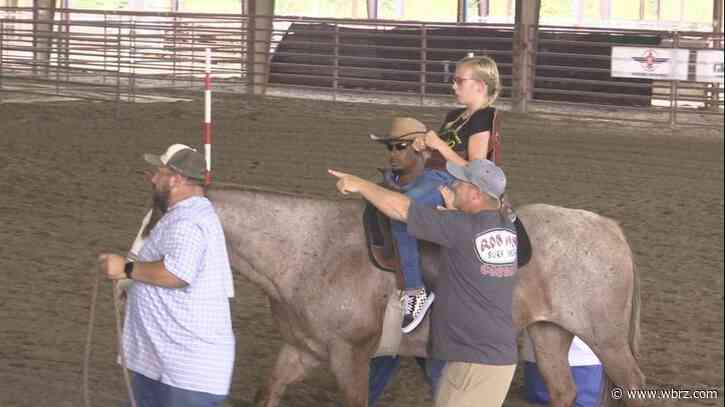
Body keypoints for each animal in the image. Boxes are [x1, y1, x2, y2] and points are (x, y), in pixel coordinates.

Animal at [201, 185, 640, 407]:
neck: (311, 246)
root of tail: (609, 227)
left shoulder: (350, 356)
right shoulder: (301, 349)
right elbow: (267, 392)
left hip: (607, 340)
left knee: (632, 383)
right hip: (550, 333)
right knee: (563, 390)